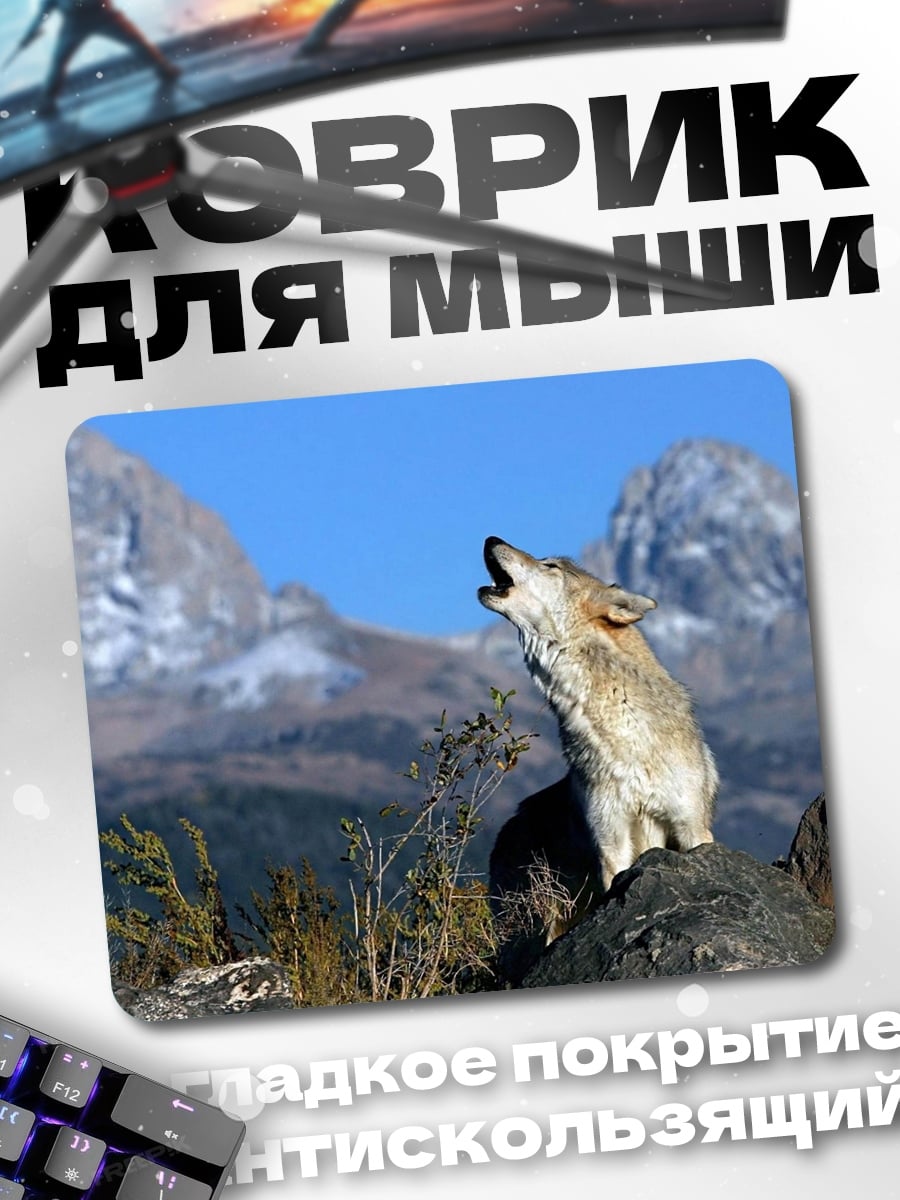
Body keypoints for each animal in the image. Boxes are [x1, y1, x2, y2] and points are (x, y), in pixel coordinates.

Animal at [478, 536, 717, 978]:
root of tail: (505, 832)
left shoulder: (691, 827)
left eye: (551, 565)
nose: (491, 539)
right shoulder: (611, 838)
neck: (626, 736)